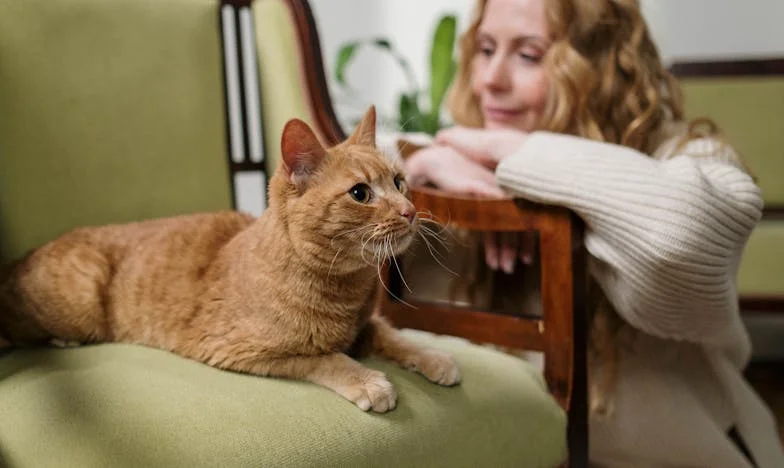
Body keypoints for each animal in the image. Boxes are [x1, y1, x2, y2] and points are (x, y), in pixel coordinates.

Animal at [0, 107, 460, 414]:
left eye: (399, 182)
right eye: (361, 193)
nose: (409, 211)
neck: (345, 290)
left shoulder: (366, 326)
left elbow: (394, 336)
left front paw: (434, 357)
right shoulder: (242, 351)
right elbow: (324, 358)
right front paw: (367, 380)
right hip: (80, 301)